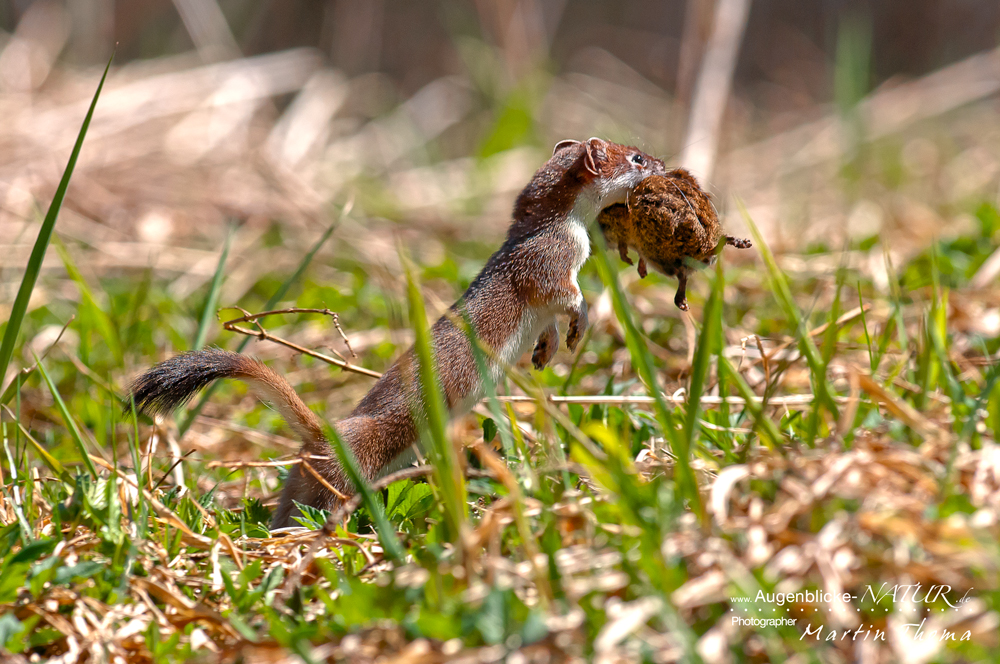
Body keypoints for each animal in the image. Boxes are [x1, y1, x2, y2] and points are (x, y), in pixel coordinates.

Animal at [131, 137, 664, 528]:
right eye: (636, 156)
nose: (662, 162)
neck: (559, 229)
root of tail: (325, 431)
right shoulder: (549, 264)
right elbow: (568, 297)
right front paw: (580, 325)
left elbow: (551, 320)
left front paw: (548, 349)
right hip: (347, 475)